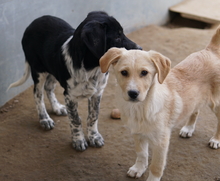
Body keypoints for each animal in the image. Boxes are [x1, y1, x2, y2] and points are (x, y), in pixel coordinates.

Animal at [7, 11, 141, 151]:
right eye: (117, 37)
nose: (141, 48)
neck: (91, 69)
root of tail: (32, 23)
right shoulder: (69, 96)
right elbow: (75, 120)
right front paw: (79, 140)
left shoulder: (97, 93)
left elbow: (93, 116)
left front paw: (94, 137)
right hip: (38, 70)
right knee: (38, 94)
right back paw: (44, 119)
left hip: (53, 70)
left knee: (48, 87)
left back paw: (57, 108)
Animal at [99, 26, 220, 180]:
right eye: (124, 72)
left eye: (144, 73)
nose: (133, 93)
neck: (141, 108)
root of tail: (211, 50)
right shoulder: (137, 134)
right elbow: (142, 154)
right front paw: (138, 168)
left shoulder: (161, 142)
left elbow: (156, 166)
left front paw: (151, 177)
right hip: (197, 99)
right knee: (195, 110)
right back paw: (188, 128)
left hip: (216, 103)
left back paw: (216, 140)